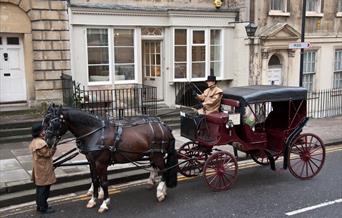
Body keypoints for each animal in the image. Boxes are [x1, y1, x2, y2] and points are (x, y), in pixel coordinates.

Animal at [43, 104, 178, 212]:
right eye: (45, 121)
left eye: (54, 122)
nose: (47, 141)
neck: (95, 133)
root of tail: (164, 126)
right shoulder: (91, 162)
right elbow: (95, 180)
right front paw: (93, 199)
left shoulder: (101, 163)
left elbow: (103, 182)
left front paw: (104, 203)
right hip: (153, 154)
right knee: (157, 168)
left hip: (157, 155)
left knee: (164, 170)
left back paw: (160, 192)